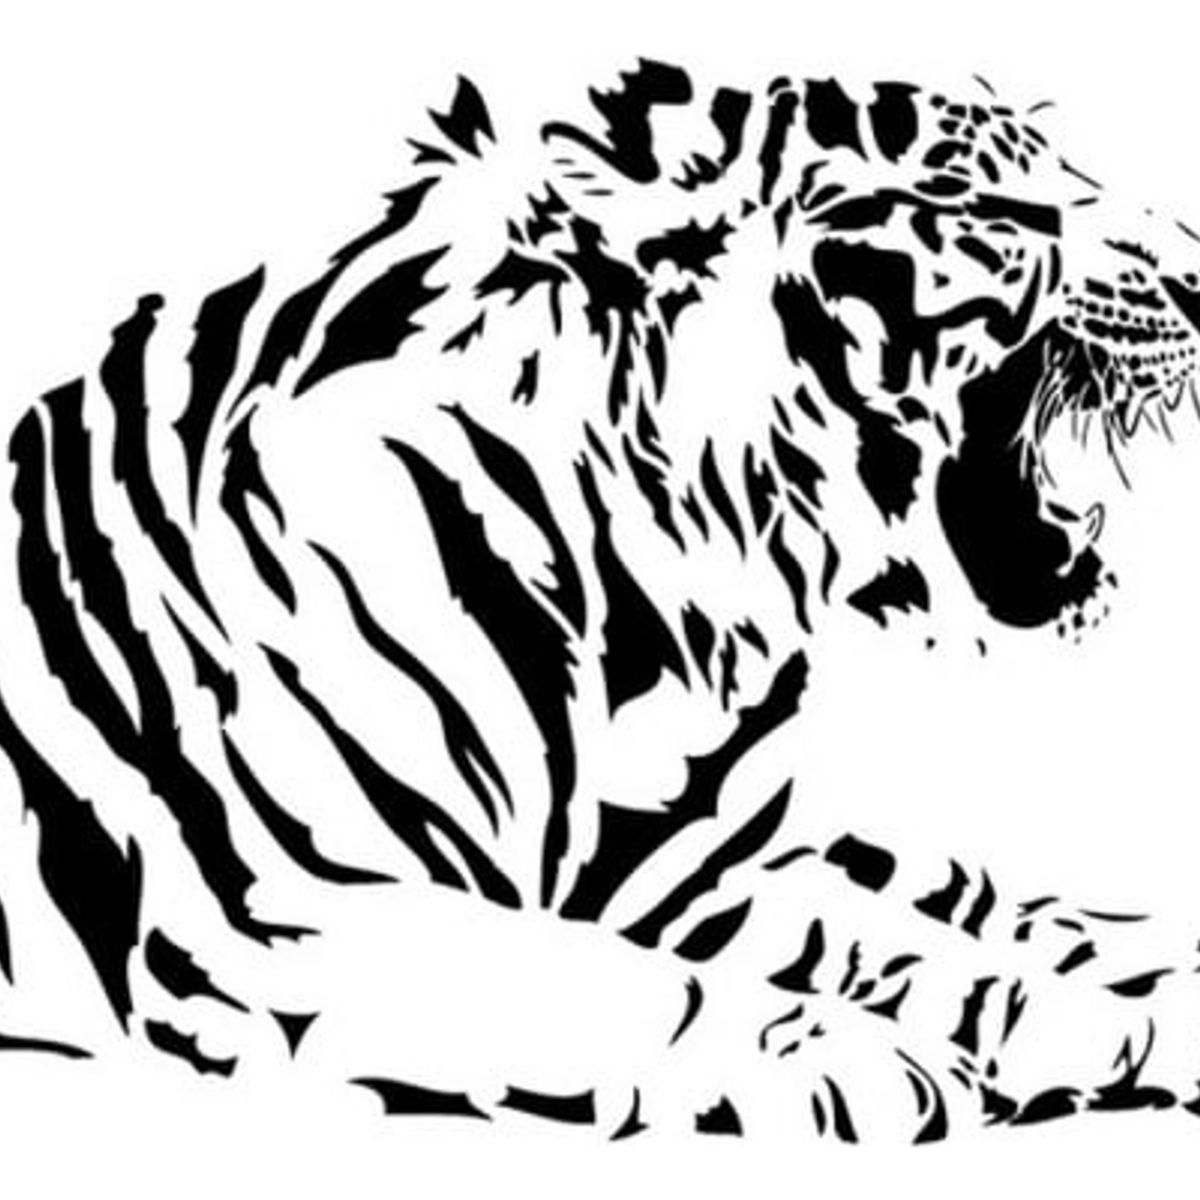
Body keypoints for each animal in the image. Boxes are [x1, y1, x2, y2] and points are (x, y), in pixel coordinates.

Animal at [3, 58, 1200, 1145]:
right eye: (972, 198)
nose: (1197, 276)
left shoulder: (680, 873)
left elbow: (926, 938)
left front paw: (1111, 1021)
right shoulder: (287, 916)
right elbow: (626, 982)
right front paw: (858, 1059)